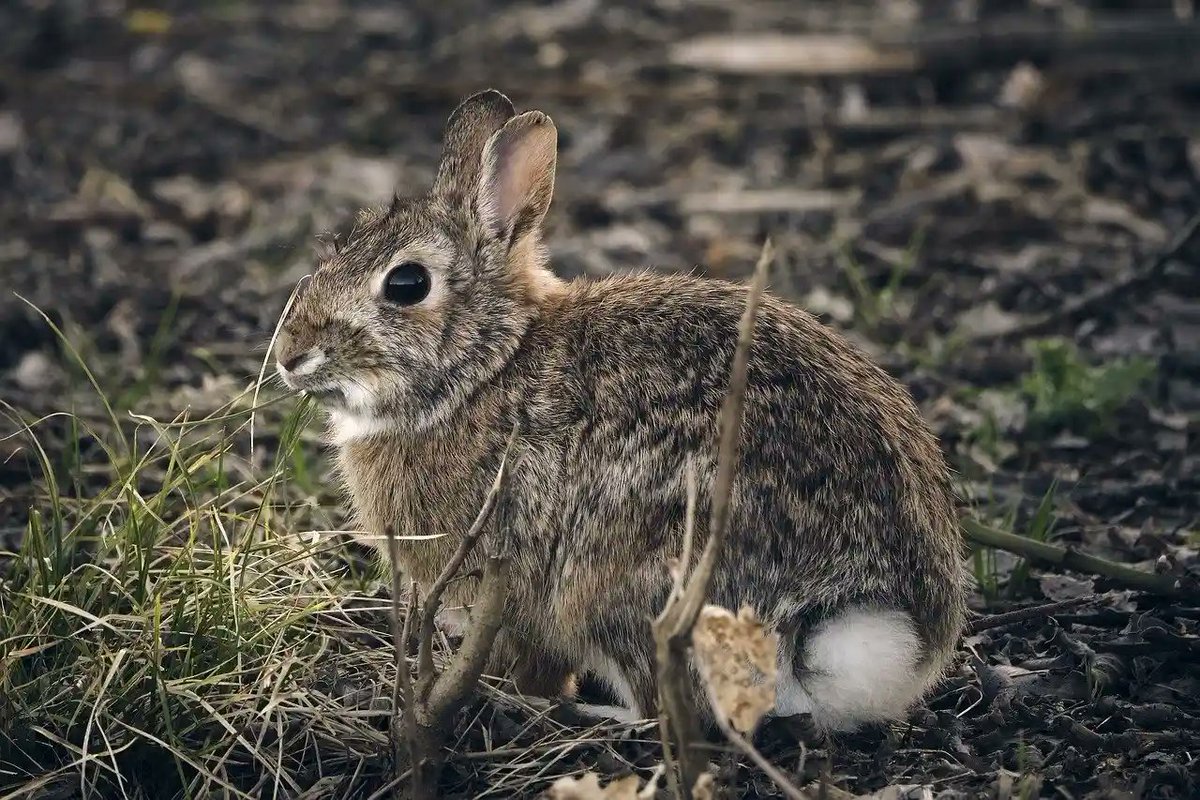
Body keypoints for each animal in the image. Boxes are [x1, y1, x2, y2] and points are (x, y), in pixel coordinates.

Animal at [272, 89, 968, 733]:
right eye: (338, 247)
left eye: (407, 284)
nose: (289, 355)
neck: (490, 365)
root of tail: (853, 620)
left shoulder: (504, 586)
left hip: (620, 587)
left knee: (660, 708)